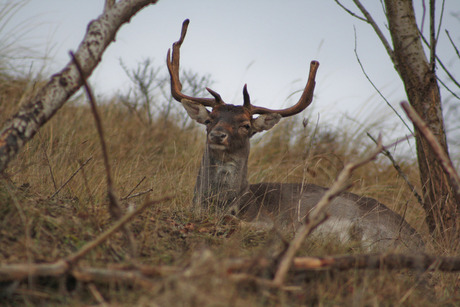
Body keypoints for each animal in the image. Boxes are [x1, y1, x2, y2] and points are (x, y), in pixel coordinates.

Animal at [167, 19, 426, 253]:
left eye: (245, 125)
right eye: (210, 119)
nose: (218, 135)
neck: (232, 203)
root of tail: (420, 241)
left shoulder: (275, 219)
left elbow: (251, 225)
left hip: (369, 229)